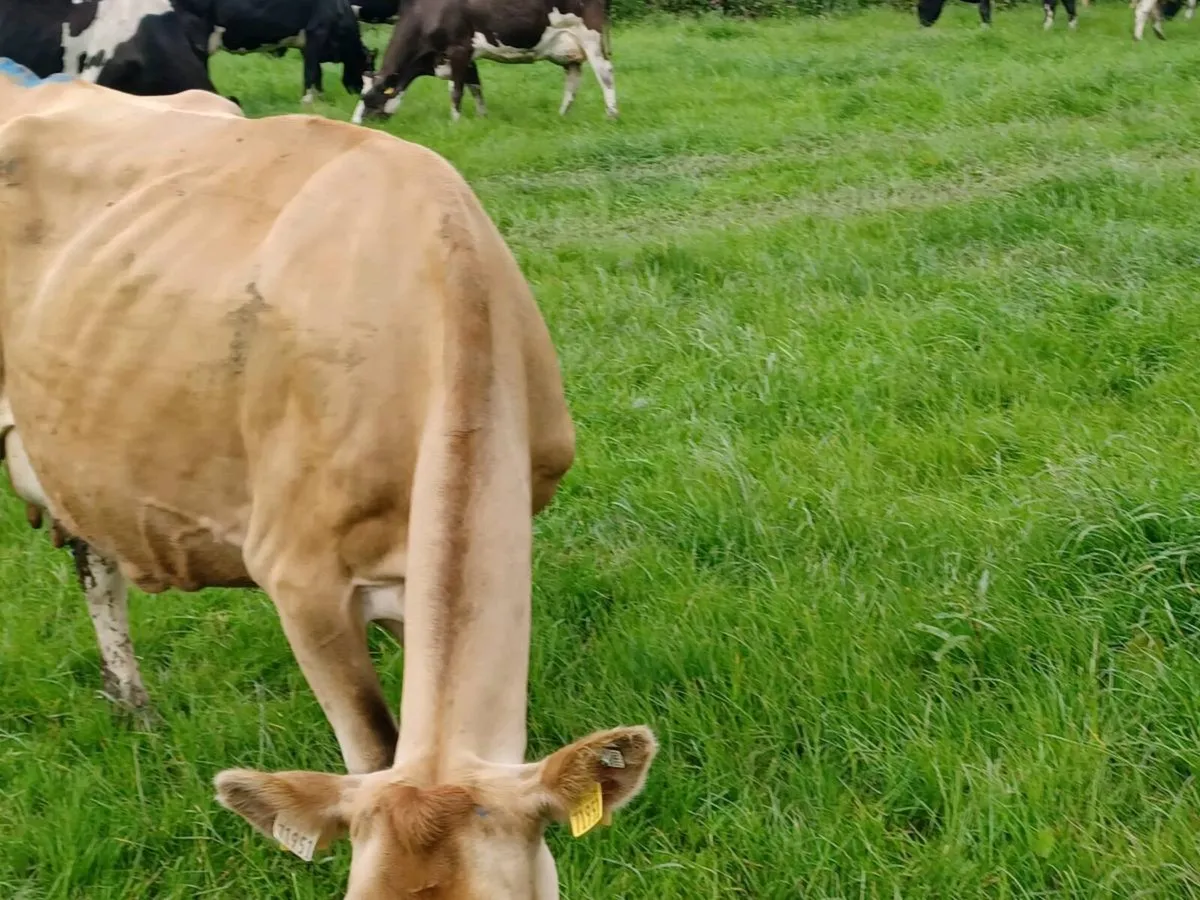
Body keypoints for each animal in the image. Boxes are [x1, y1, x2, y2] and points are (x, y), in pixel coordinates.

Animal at [201, 0, 377, 103]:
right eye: (367, 69)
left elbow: (317, 73)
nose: (360, 94)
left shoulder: (306, 46)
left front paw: (320, 100)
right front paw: (307, 101)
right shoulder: (316, 33)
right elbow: (311, 72)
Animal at [352, 0, 616, 125]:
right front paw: (482, 118)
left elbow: (456, 92)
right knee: (573, 80)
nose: (355, 124)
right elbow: (475, 88)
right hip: (569, 48)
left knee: (605, 74)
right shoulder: (467, 57)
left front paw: (455, 123)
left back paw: (611, 115)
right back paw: (562, 116)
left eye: (368, 99)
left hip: (591, 35)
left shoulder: (459, 49)